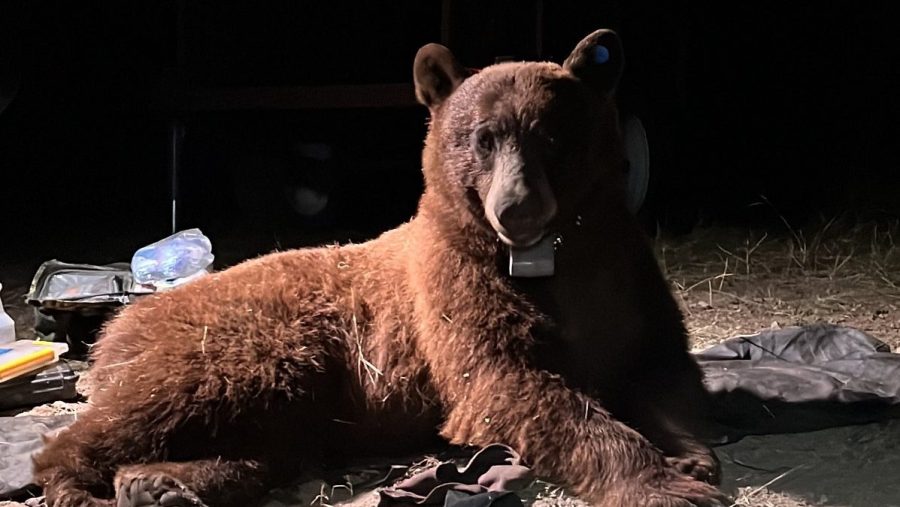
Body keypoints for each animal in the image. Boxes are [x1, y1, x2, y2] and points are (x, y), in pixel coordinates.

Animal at [33, 29, 725, 507]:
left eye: (552, 136)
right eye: (482, 138)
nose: (517, 207)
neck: (547, 256)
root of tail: (121, 325)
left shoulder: (626, 275)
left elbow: (663, 368)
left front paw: (689, 459)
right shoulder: (456, 291)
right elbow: (513, 384)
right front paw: (662, 482)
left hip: (288, 390)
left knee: (267, 447)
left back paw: (160, 483)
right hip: (238, 350)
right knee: (137, 415)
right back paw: (83, 484)